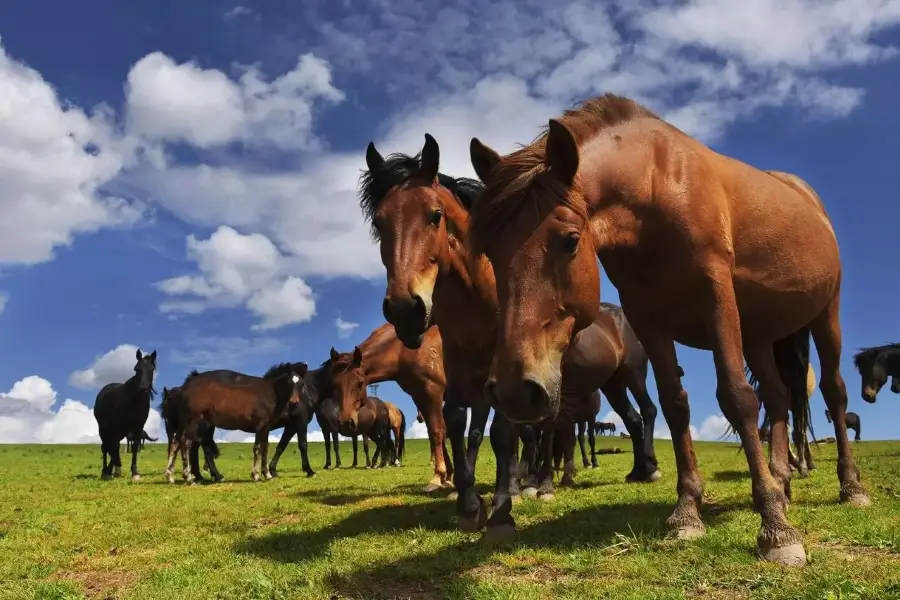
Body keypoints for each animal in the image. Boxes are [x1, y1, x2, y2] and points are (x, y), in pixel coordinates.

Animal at [92, 350, 157, 480]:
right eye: (136, 369)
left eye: (152, 369)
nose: (143, 388)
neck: (134, 400)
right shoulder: (116, 427)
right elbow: (111, 448)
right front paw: (108, 471)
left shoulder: (138, 427)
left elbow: (134, 448)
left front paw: (135, 472)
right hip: (104, 428)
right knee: (106, 447)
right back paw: (106, 470)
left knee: (113, 447)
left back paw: (115, 469)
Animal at [169, 360, 310, 482]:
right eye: (289, 382)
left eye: (302, 384)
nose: (294, 402)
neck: (269, 393)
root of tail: (184, 388)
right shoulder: (261, 425)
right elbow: (258, 448)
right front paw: (256, 475)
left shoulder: (266, 427)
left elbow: (265, 448)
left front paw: (267, 475)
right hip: (194, 422)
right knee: (186, 443)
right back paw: (189, 478)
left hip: (186, 423)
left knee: (176, 442)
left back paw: (171, 476)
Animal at [326, 326, 454, 490]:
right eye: (335, 384)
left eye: (360, 383)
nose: (346, 423)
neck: (406, 350)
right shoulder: (420, 395)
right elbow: (440, 433)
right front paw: (448, 476)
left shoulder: (433, 392)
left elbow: (437, 433)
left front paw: (438, 476)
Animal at [358, 136, 660, 544]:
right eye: (379, 222)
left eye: (435, 215)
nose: (405, 309)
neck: (477, 298)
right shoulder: (460, 369)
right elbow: (457, 425)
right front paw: (469, 505)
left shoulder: (504, 374)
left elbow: (503, 435)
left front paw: (502, 510)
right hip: (610, 383)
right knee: (629, 418)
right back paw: (636, 470)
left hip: (632, 375)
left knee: (644, 412)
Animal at [468, 94, 868, 568]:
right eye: (489, 251)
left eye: (569, 240)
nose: (515, 391)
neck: (657, 189)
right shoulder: (647, 317)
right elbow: (675, 405)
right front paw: (688, 513)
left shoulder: (716, 296)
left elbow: (736, 398)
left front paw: (776, 528)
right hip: (757, 334)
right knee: (777, 397)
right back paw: (781, 480)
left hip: (825, 314)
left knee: (832, 391)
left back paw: (849, 486)